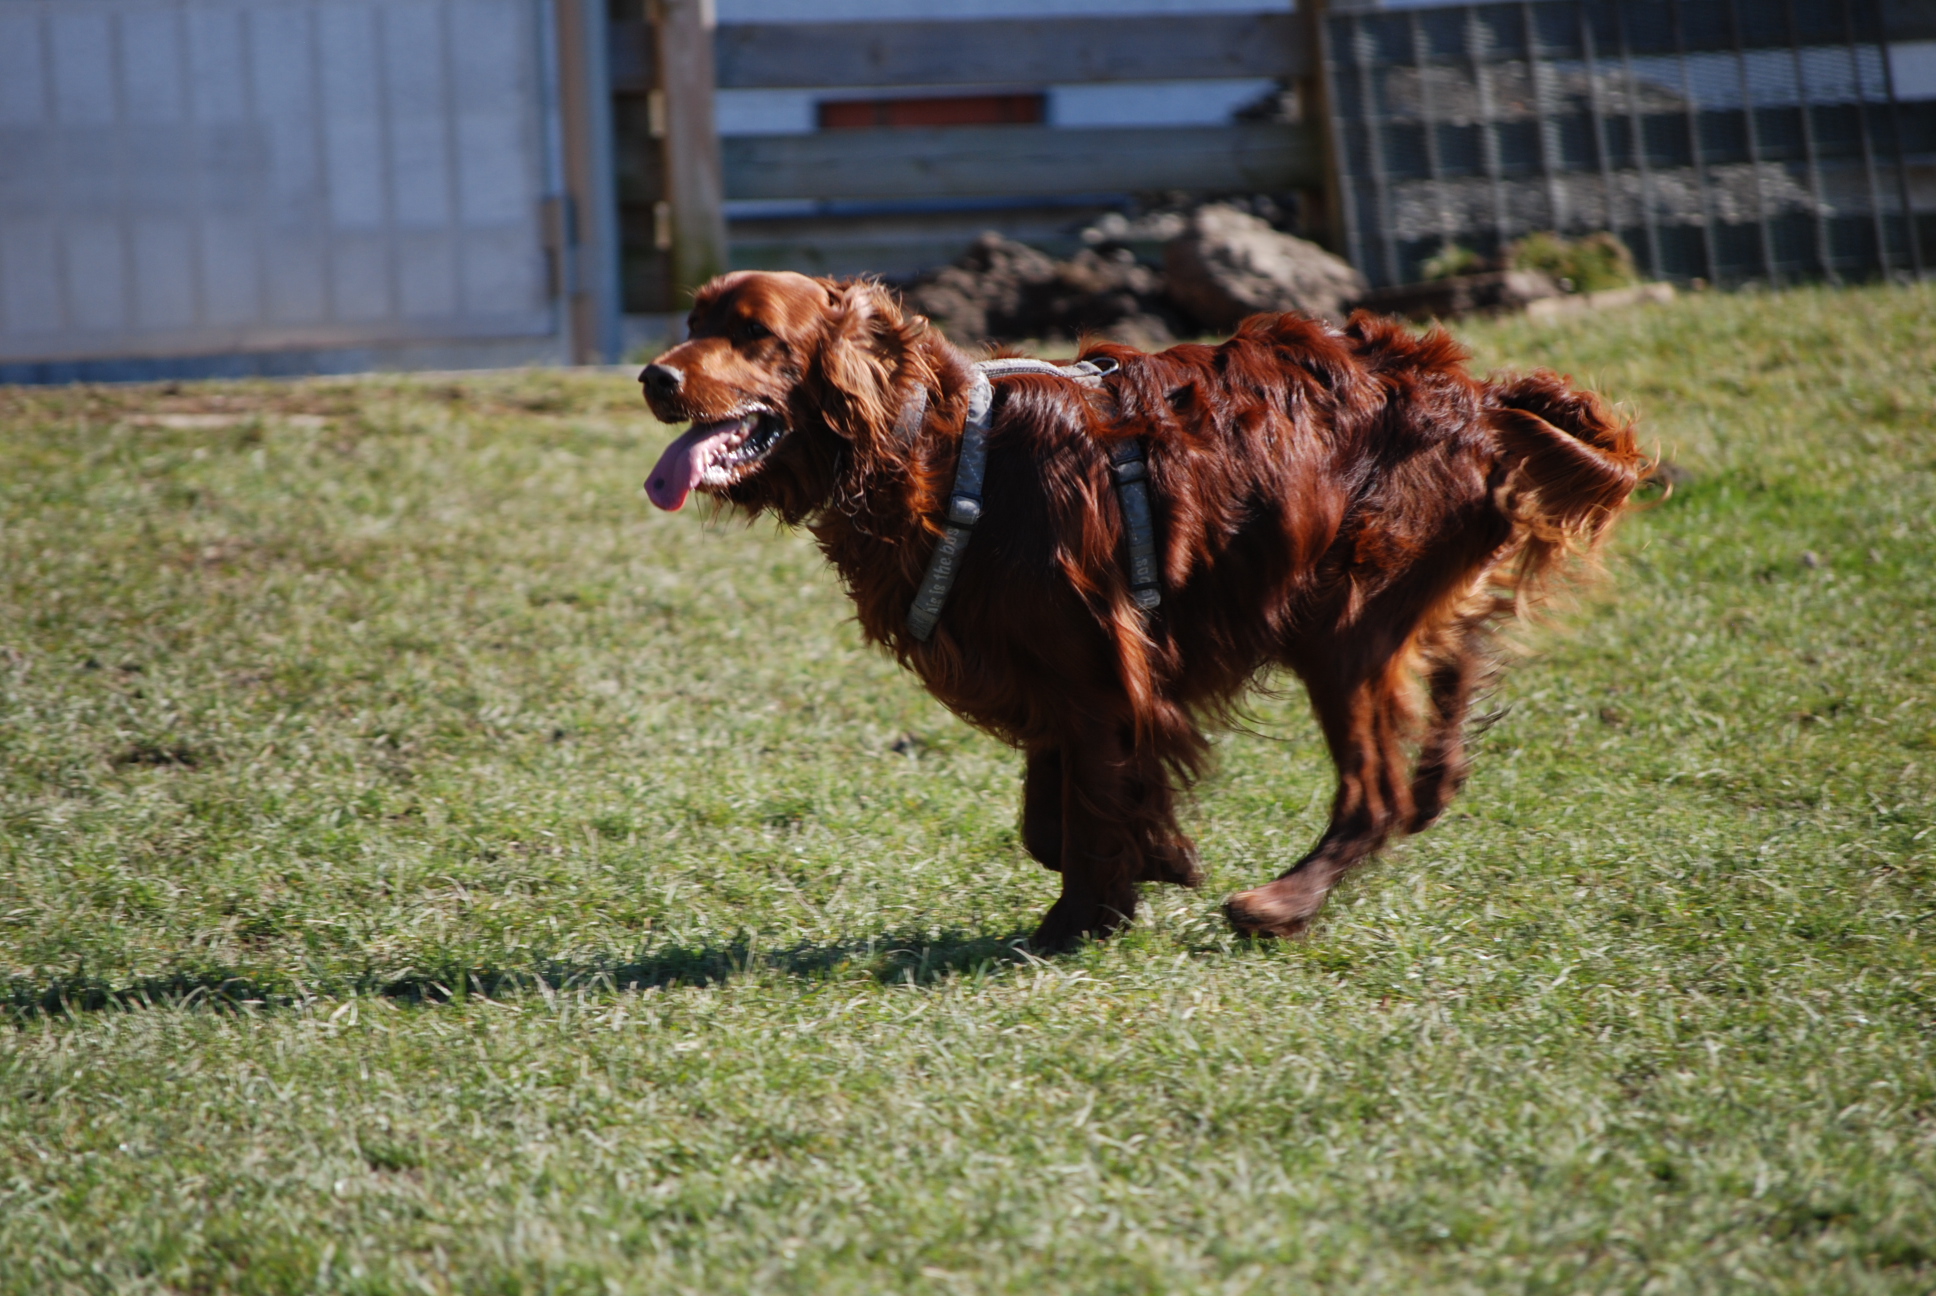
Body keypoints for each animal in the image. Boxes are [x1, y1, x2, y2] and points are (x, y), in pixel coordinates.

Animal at [642, 267, 1641, 949]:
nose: (653, 377)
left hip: (1343, 623)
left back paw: (1283, 902)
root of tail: (1477, 397)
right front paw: (1144, 866)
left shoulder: (1098, 670)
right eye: (692, 321)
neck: (945, 450)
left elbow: (1089, 809)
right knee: (1455, 660)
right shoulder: (1058, 676)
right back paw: (1438, 781)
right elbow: (1053, 816)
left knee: (1373, 793)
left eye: (754, 332)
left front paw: (1080, 918)